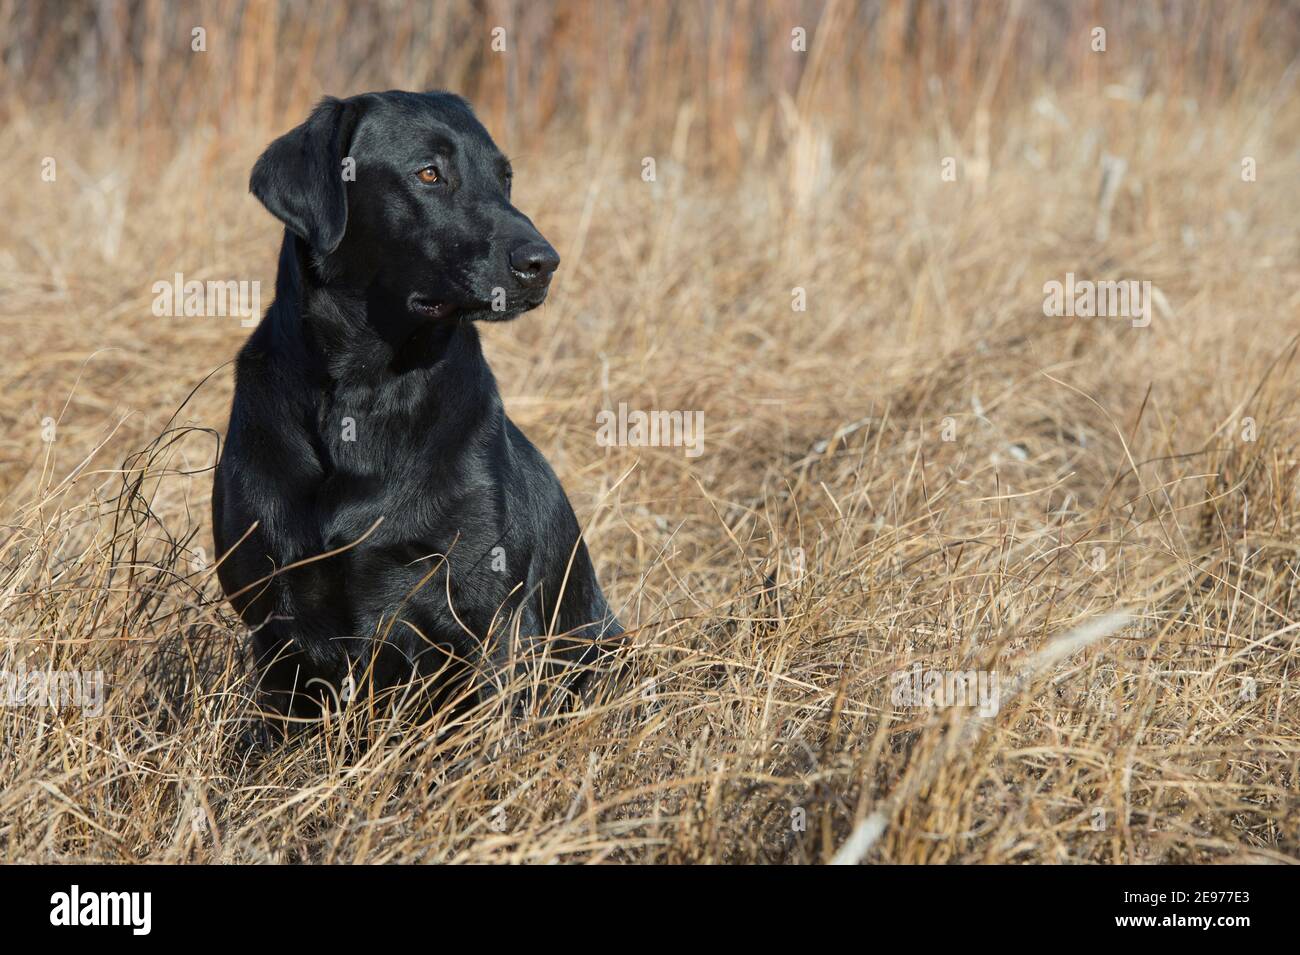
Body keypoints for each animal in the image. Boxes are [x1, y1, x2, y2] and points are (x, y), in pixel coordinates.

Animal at [210, 91, 621, 748]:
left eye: (505, 178)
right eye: (430, 174)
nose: (544, 262)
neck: (365, 393)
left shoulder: (484, 618)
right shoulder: (273, 627)